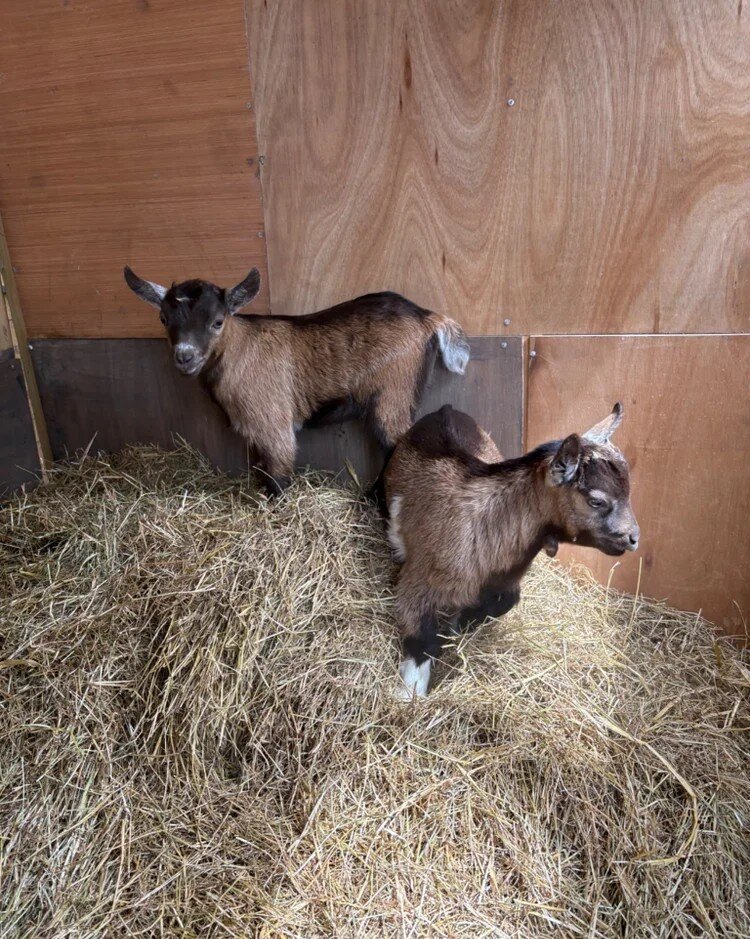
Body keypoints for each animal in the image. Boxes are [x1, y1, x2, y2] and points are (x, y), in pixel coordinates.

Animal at [124, 267, 470, 494]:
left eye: (217, 321)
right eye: (163, 319)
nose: (184, 357)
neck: (238, 350)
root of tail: (426, 317)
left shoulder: (271, 420)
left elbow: (279, 469)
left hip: (394, 392)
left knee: (397, 441)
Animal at [383, 403, 639, 697]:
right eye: (596, 501)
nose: (633, 538)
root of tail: (445, 409)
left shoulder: (504, 581)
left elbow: (504, 601)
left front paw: (460, 623)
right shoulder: (420, 580)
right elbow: (422, 639)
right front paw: (409, 693)